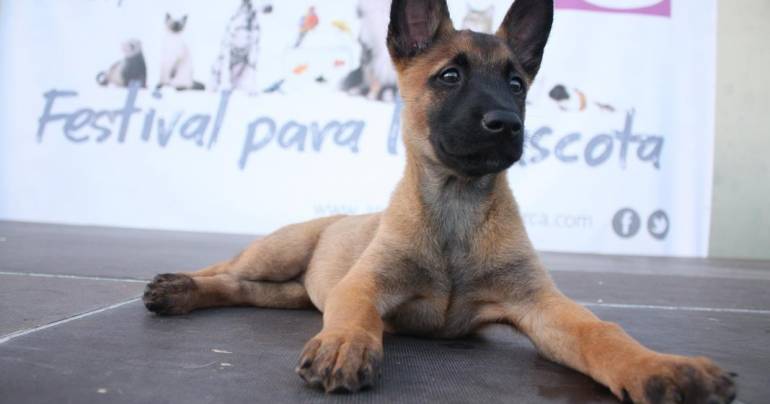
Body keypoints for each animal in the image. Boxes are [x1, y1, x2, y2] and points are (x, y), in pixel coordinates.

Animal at [141, 1, 736, 402]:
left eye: (517, 85)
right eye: (450, 76)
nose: (506, 124)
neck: (457, 208)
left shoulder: (543, 306)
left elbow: (602, 333)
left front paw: (659, 368)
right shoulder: (364, 284)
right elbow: (355, 313)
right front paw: (346, 344)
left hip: (292, 290)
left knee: (249, 290)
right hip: (278, 251)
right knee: (225, 269)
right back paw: (177, 288)